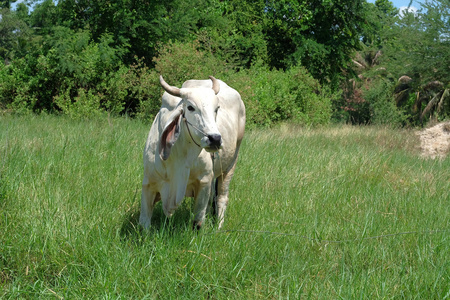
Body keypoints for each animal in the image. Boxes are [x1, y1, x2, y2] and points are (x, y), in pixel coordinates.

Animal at [141, 75, 246, 230]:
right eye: (190, 107)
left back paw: (219, 227)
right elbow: (144, 225)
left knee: (221, 197)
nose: (215, 139)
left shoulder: (204, 182)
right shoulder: (148, 184)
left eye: (217, 109)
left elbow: (198, 222)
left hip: (231, 163)